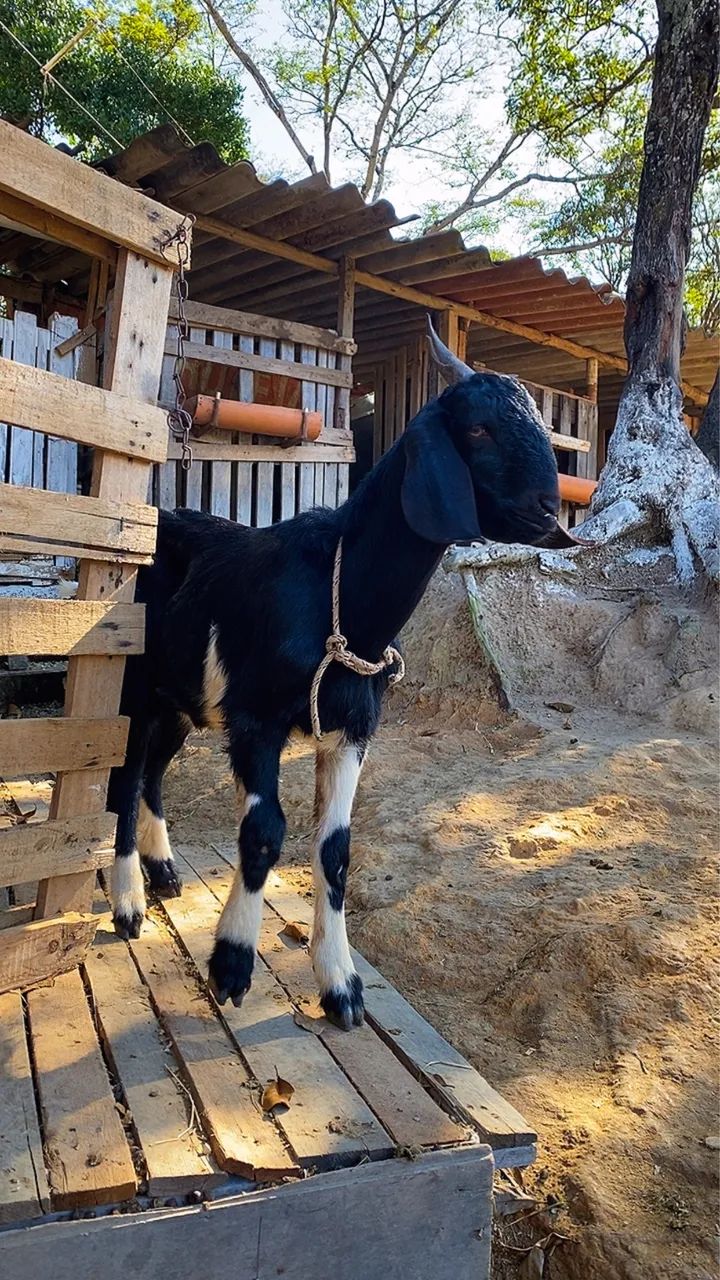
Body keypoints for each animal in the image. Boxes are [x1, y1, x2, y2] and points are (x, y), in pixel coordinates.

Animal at [107, 320, 581, 1030]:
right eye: (476, 429)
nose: (551, 512)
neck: (343, 602)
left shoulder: (354, 730)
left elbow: (335, 851)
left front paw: (342, 986)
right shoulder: (256, 720)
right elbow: (264, 832)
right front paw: (232, 964)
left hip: (182, 700)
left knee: (156, 773)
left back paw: (163, 870)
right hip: (136, 684)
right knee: (127, 777)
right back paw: (129, 903)